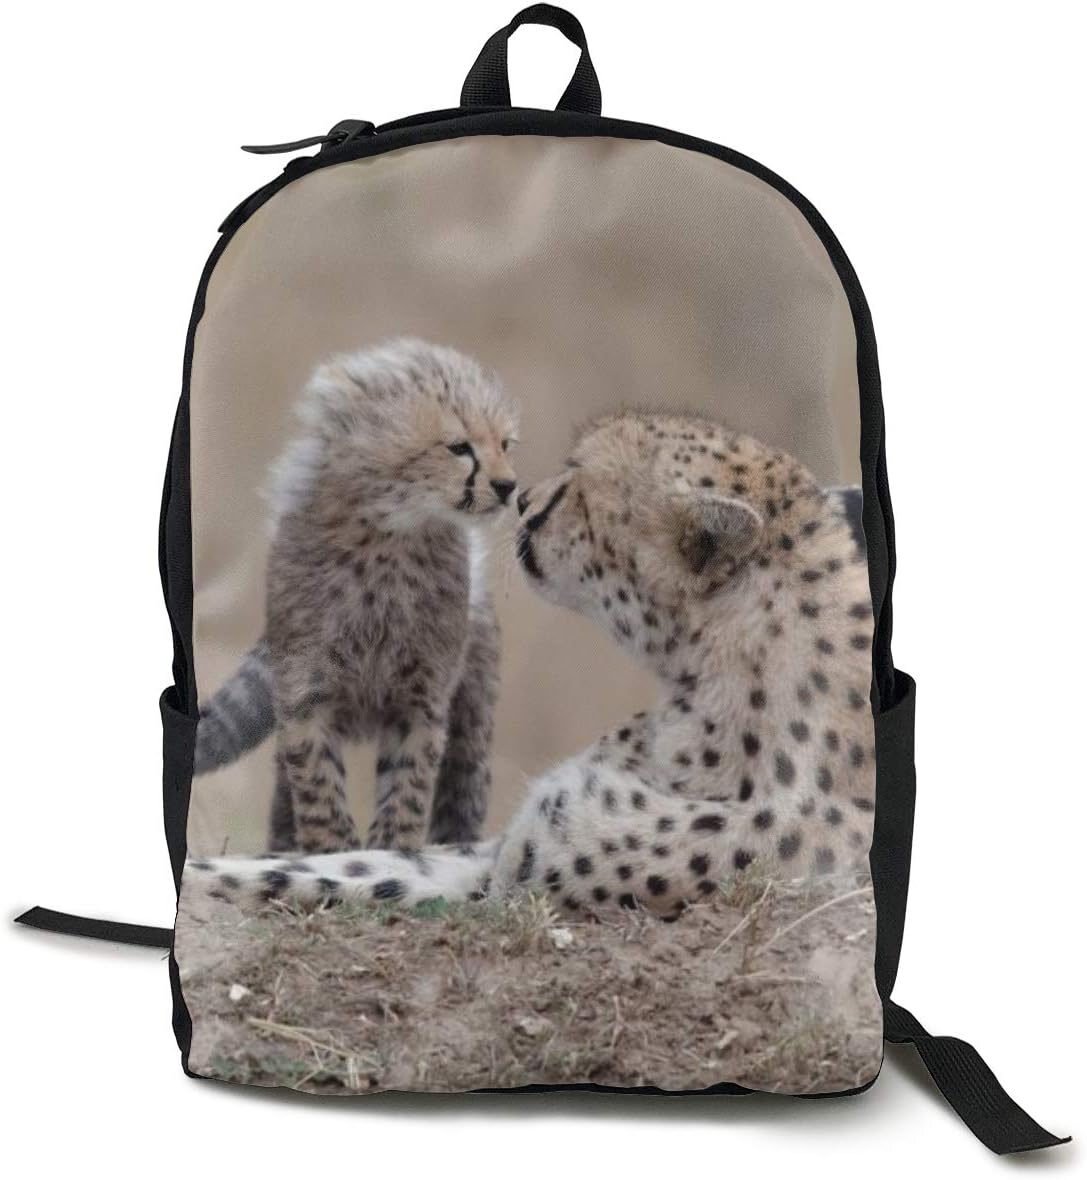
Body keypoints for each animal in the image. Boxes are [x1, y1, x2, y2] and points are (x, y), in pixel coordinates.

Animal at [185, 409, 875, 917]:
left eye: (579, 484)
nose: (522, 500)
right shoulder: (502, 851)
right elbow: (332, 864)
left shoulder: (513, 885)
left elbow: (322, 875)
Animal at [191, 337, 519, 855]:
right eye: (459, 447)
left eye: (505, 444)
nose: (508, 487)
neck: (390, 535)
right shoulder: (306, 695)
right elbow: (318, 785)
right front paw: (331, 850)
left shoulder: (421, 700)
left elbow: (408, 787)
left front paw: (393, 850)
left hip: (473, 711)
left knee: (464, 783)